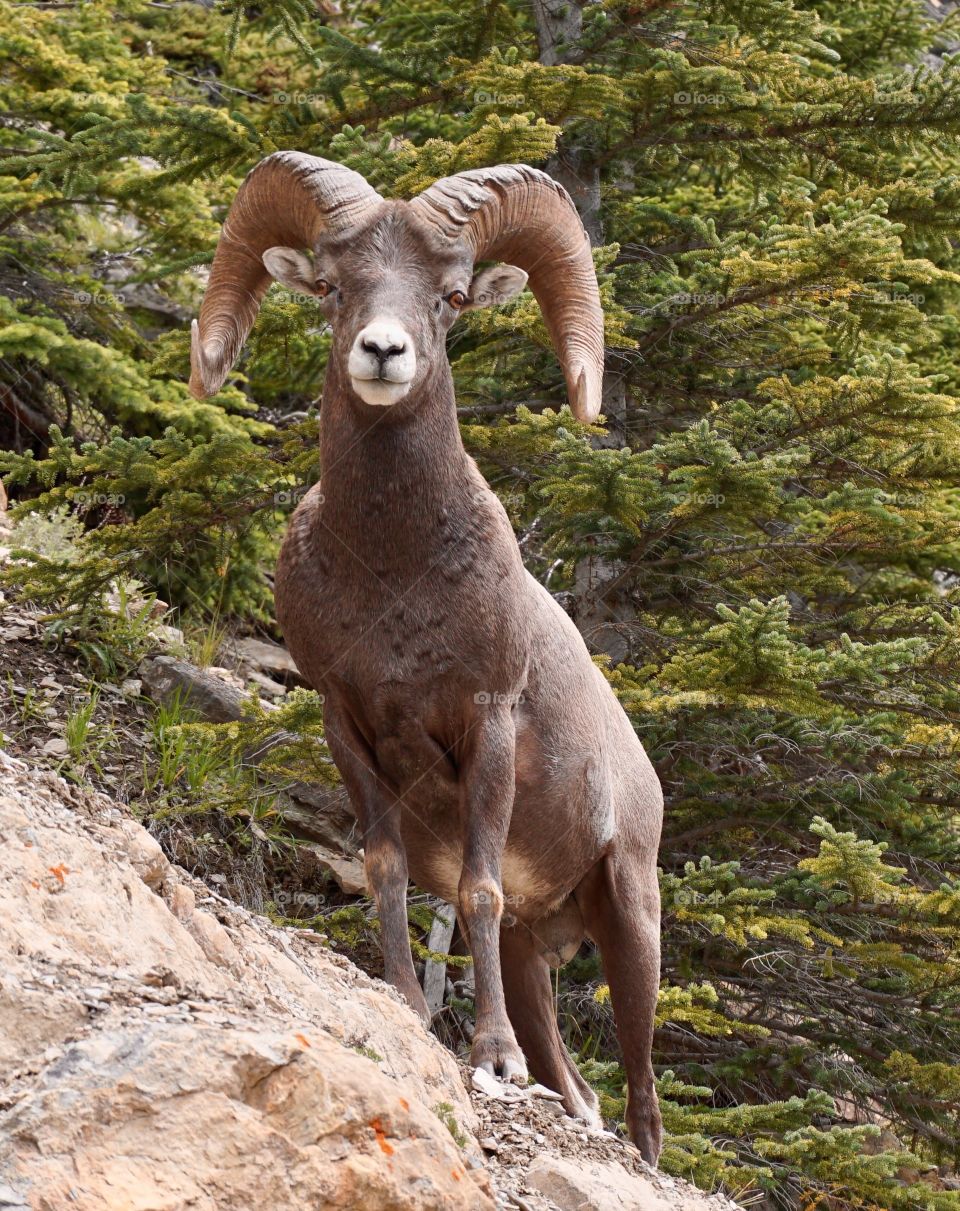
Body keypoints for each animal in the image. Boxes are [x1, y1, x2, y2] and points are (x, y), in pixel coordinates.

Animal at [190, 153, 663, 1162]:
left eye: (449, 297)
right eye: (333, 287)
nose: (382, 352)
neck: (394, 575)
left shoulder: (486, 728)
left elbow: (476, 891)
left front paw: (490, 1059)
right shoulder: (350, 727)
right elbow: (387, 870)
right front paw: (408, 1004)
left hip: (632, 916)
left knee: (644, 1097)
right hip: (535, 958)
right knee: (579, 1085)